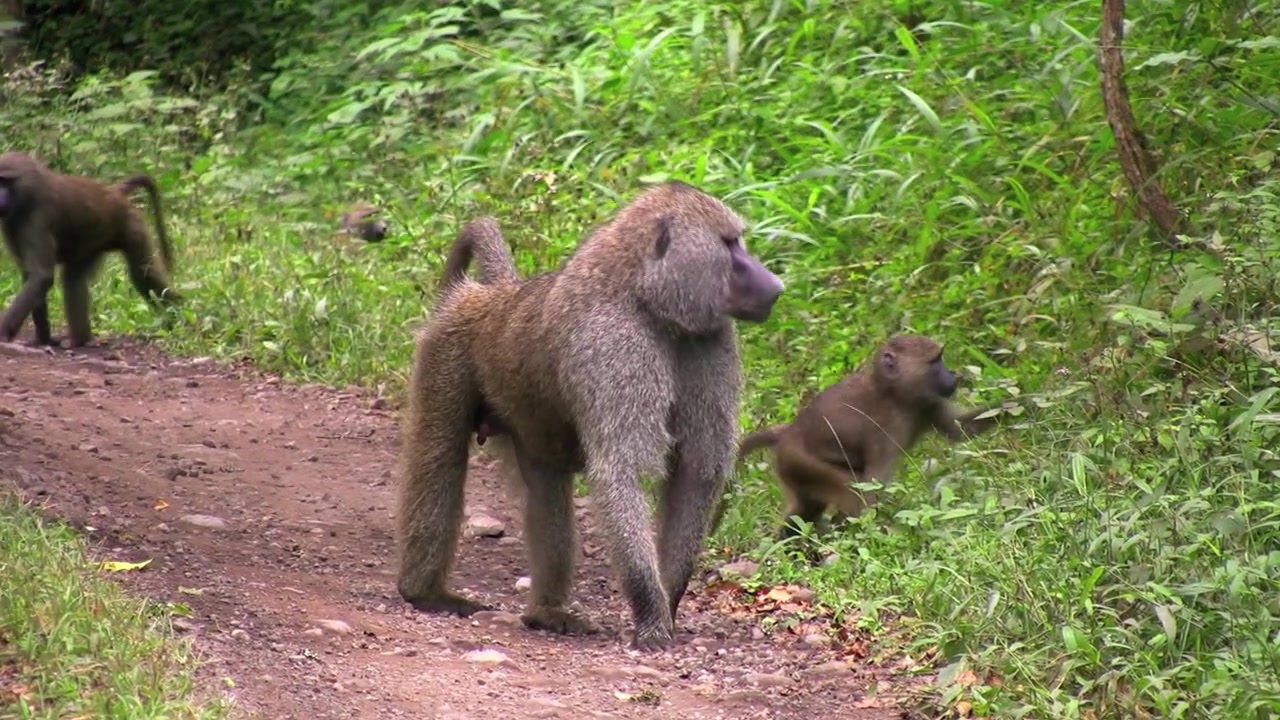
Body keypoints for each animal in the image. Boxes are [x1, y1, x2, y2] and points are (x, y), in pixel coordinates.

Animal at [0, 151, 179, 348]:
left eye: (4, 181)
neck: (29, 193)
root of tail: (113, 191)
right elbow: (31, 277)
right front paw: (42, 339)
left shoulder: (38, 217)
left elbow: (41, 276)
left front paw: (3, 333)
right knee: (75, 278)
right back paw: (82, 339)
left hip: (129, 223)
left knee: (143, 275)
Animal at [397, 181, 785, 650]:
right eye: (729, 244)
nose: (776, 285)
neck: (645, 297)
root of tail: (491, 297)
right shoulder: (615, 344)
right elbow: (621, 470)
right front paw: (652, 616)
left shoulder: (711, 339)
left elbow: (697, 471)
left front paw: (668, 600)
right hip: (446, 352)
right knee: (440, 458)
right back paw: (424, 593)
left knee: (546, 490)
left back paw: (547, 613)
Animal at [717, 334, 1003, 539]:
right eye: (935, 362)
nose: (952, 377)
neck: (896, 394)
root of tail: (787, 432)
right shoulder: (884, 429)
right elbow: (870, 491)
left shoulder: (928, 403)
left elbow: (961, 430)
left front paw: (1014, 404)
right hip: (798, 460)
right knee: (847, 492)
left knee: (804, 509)